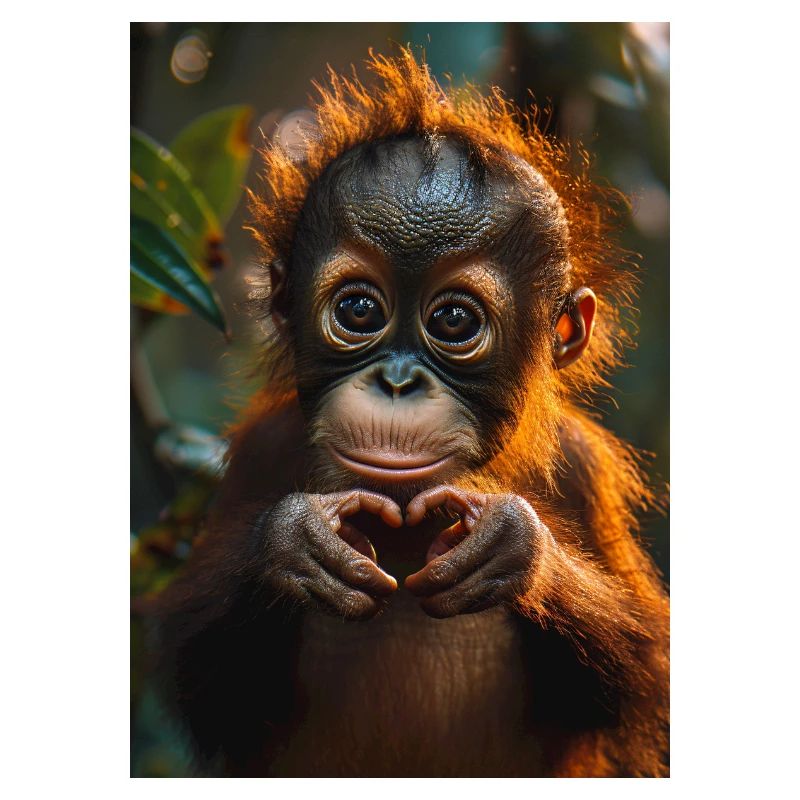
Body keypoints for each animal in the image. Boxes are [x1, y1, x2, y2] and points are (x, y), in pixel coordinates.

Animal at [151, 48, 669, 778]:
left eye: (453, 320)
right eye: (358, 310)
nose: (396, 381)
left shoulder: (582, 469)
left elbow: (638, 681)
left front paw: (514, 544)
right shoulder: (262, 450)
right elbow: (205, 684)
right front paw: (294, 542)